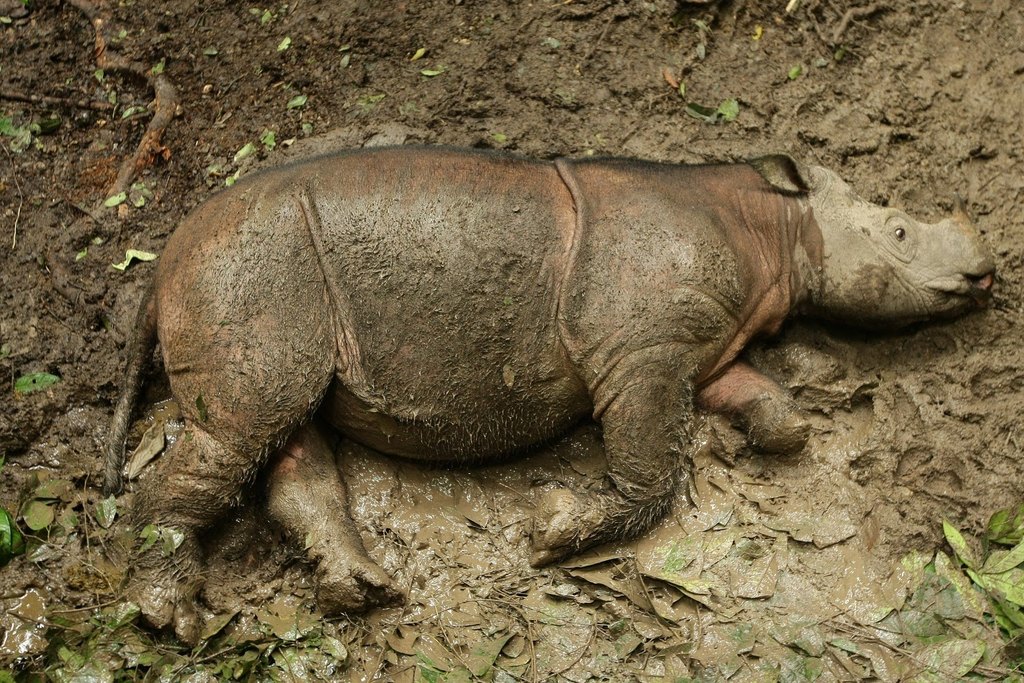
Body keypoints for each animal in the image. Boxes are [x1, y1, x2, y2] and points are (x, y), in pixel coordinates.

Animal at [104, 147, 994, 642]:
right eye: (901, 232)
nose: (985, 270)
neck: (773, 226)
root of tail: (161, 264)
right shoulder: (641, 351)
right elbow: (654, 470)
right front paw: (553, 525)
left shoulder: (702, 350)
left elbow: (770, 407)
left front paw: (772, 432)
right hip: (250, 269)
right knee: (241, 432)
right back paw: (170, 617)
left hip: (265, 279)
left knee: (283, 434)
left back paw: (363, 590)